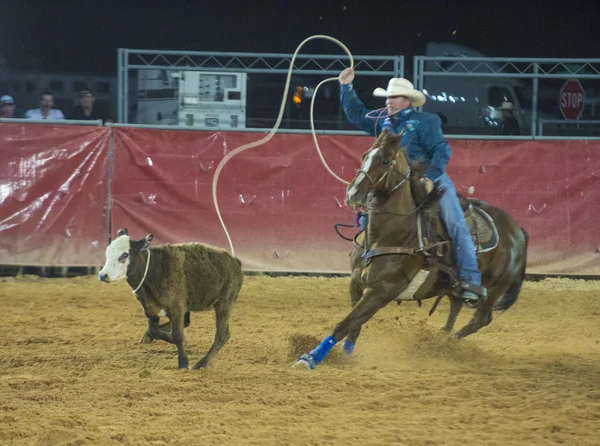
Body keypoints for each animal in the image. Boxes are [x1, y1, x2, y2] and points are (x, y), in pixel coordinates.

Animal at [292, 131, 528, 372]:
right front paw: (345, 354)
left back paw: (447, 345)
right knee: (456, 307)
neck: (392, 232)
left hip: (495, 288)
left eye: (386, 160)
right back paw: (442, 339)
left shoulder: (382, 290)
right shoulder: (356, 283)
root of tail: (517, 230)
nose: (353, 193)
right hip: (456, 288)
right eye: (365, 155)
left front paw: (310, 358)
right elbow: (354, 325)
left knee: (481, 319)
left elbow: (345, 323)